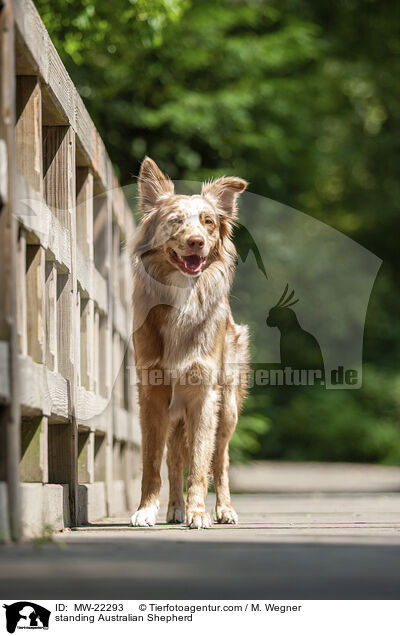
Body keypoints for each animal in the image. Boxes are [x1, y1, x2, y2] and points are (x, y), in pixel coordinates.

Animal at [130, 158, 250, 528]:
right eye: (175, 220)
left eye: (208, 221)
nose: (197, 242)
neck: (182, 292)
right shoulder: (151, 394)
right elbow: (152, 462)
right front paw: (146, 509)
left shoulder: (204, 393)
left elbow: (200, 462)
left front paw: (199, 513)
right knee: (173, 459)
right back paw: (174, 508)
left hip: (228, 409)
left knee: (220, 461)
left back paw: (224, 509)